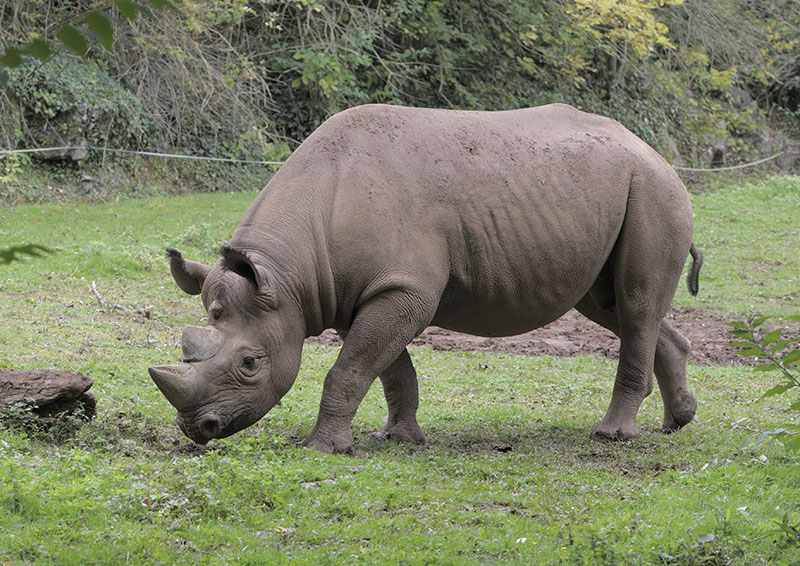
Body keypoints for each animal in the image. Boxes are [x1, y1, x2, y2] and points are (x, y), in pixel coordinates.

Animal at [149, 103, 702, 453]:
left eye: (249, 363)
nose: (197, 429)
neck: (287, 279)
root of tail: (654, 151)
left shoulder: (402, 288)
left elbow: (350, 369)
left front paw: (325, 449)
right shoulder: (356, 292)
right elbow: (390, 369)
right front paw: (398, 438)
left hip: (654, 188)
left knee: (634, 303)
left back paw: (612, 437)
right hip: (606, 195)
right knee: (612, 306)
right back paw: (678, 422)